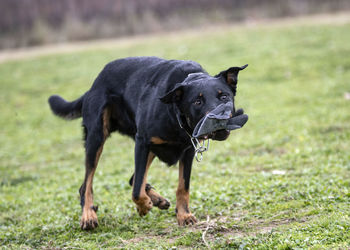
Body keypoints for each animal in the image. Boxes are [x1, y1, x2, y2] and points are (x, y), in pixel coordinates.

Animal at [47, 56, 247, 229]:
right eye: (197, 101)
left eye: (224, 97)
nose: (218, 120)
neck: (175, 112)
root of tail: (94, 84)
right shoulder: (142, 142)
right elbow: (136, 191)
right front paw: (143, 206)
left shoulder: (188, 150)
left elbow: (183, 186)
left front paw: (183, 215)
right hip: (97, 138)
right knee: (87, 184)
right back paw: (89, 216)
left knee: (134, 177)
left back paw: (158, 199)